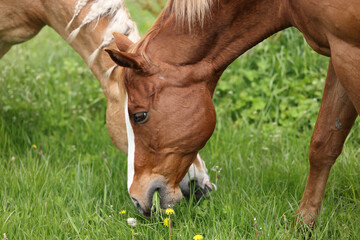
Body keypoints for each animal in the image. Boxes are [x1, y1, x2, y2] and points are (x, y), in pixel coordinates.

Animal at [106, 0, 360, 225]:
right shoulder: (337, 53)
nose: (136, 199)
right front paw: (304, 223)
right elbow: (323, 145)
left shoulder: (349, 53)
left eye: (139, 116)